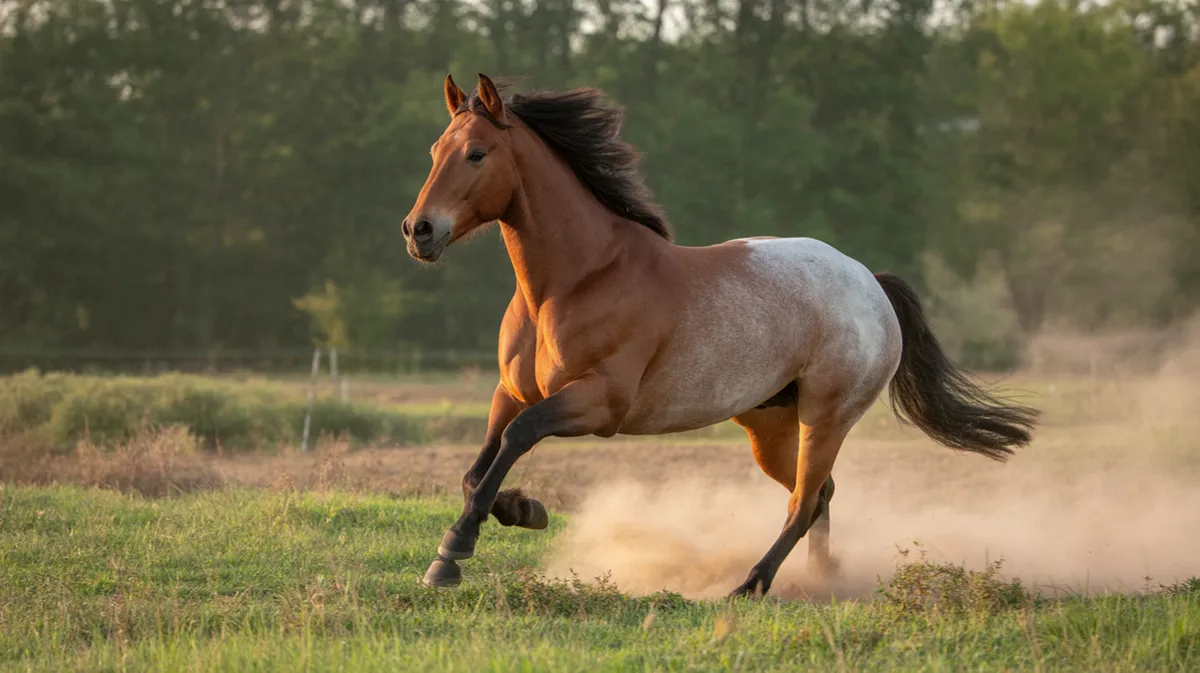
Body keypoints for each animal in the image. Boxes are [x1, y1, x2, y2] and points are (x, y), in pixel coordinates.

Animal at [401, 73, 1039, 597]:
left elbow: (517, 439)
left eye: (477, 153)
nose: (418, 230)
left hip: (826, 418)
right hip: (770, 426)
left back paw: (750, 585)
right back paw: (822, 579)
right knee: (820, 495)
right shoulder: (510, 393)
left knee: (804, 502)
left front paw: (452, 555)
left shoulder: (599, 402)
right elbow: (477, 468)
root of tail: (870, 283)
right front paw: (520, 509)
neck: (578, 279)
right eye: (434, 150)